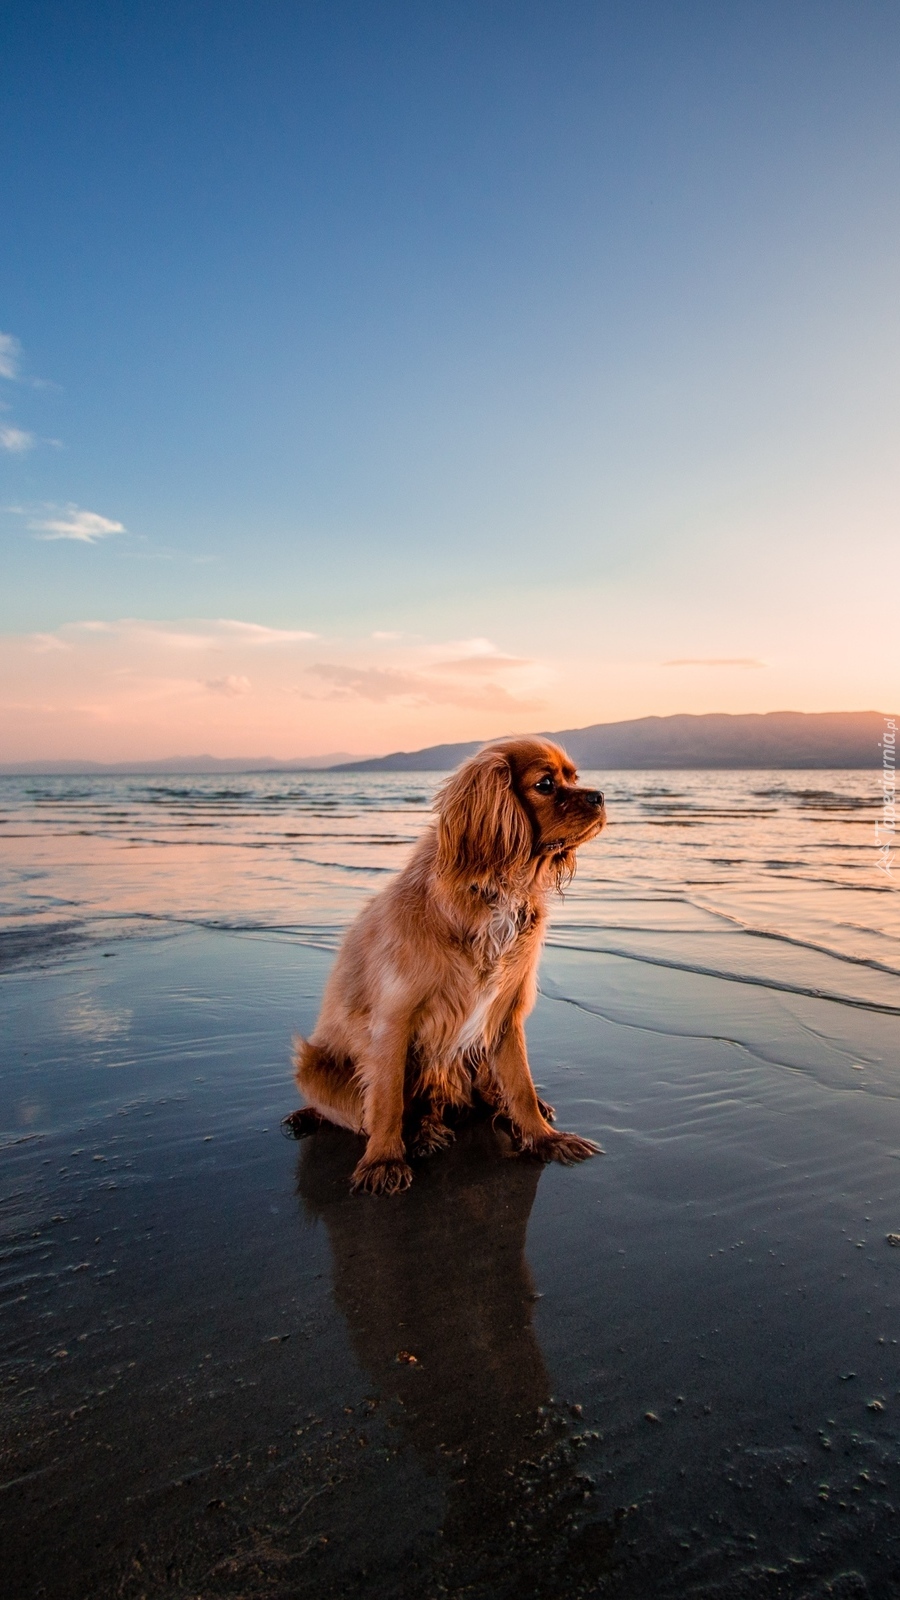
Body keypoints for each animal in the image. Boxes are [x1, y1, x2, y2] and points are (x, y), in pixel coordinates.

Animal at [283, 736, 605, 1190]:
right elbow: (387, 1100)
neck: (495, 891)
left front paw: (544, 1137)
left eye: (574, 778)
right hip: (313, 1067)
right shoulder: (394, 1019)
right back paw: (421, 1133)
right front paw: (383, 1160)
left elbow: (520, 1086)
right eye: (545, 783)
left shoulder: (504, 1014)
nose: (600, 796)